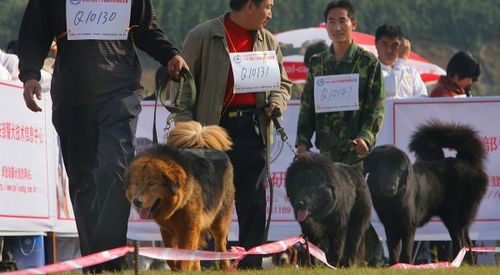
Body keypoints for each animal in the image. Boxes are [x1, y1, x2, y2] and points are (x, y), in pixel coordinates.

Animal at [364, 122, 488, 266]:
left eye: (400, 170)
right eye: (384, 168)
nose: (391, 187)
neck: (392, 201)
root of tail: (466, 161)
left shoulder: (408, 226)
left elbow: (405, 252)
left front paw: (405, 266)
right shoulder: (390, 227)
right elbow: (393, 252)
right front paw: (394, 266)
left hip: (455, 218)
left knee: (460, 242)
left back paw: (454, 264)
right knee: (467, 243)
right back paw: (466, 265)